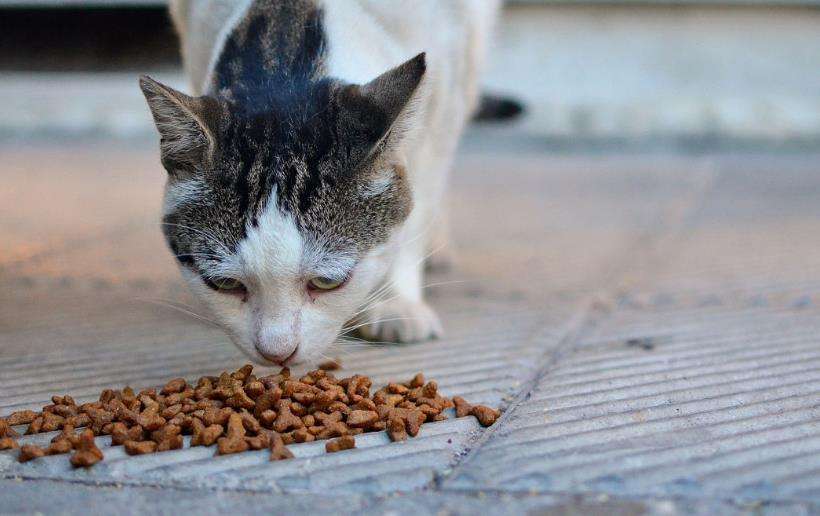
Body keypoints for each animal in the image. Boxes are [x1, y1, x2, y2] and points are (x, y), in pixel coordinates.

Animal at [141, 0, 500, 364]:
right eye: (225, 284)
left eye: (327, 282)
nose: (277, 353)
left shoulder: (450, 61)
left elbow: (422, 193)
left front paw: (395, 302)